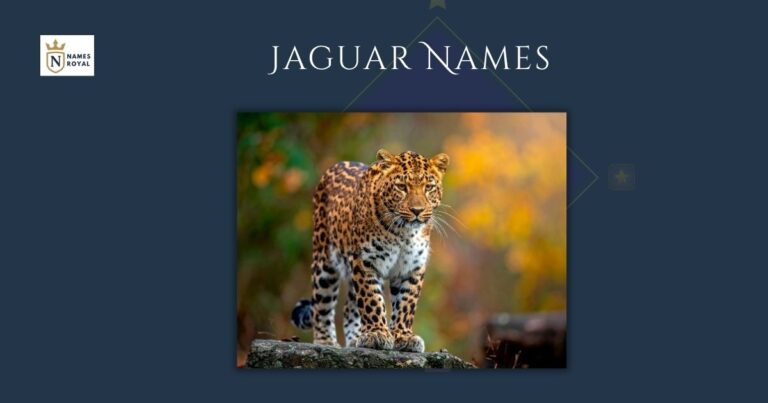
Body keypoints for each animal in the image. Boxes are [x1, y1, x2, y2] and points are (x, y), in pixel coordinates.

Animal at [291, 149, 449, 353]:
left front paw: (403, 336)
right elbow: (371, 300)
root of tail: (335, 165)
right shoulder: (365, 261)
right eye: (401, 187)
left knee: (349, 308)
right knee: (322, 305)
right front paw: (377, 334)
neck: (404, 233)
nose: (417, 210)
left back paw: (355, 338)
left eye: (429, 187)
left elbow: (406, 303)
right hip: (324, 262)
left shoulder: (413, 267)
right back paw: (326, 341)